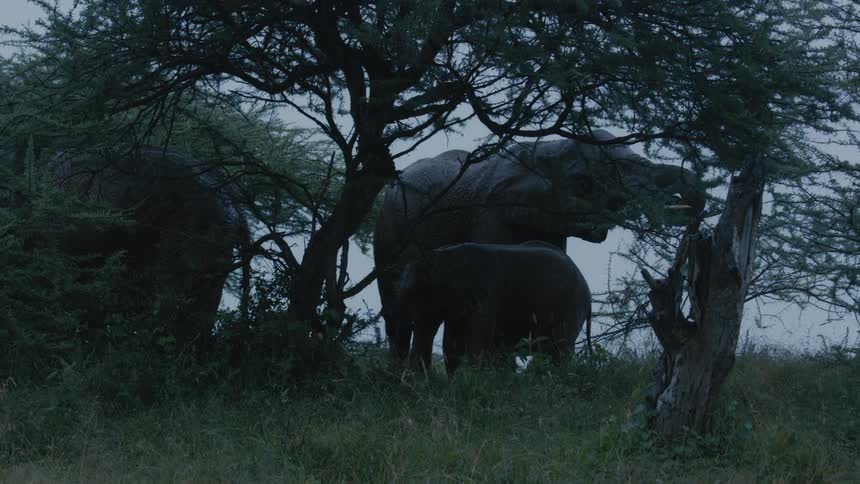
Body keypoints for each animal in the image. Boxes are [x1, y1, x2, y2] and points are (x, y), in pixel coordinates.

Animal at [399, 241, 592, 374]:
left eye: (417, 291)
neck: (443, 257)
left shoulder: (486, 294)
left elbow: (476, 341)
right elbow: (452, 343)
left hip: (569, 306)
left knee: (556, 349)